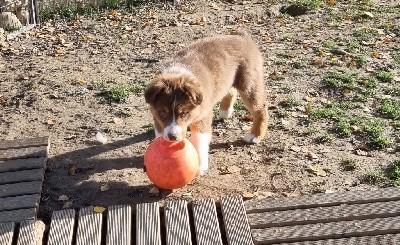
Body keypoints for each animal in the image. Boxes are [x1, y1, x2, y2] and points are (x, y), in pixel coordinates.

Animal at [144, 30, 268, 176]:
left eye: (184, 113)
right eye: (163, 112)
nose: (173, 137)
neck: (178, 73)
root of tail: (242, 36)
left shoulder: (203, 117)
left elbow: (199, 140)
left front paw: (199, 166)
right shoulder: (156, 117)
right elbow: (159, 133)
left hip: (249, 83)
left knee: (260, 108)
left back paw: (255, 135)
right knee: (230, 90)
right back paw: (225, 111)